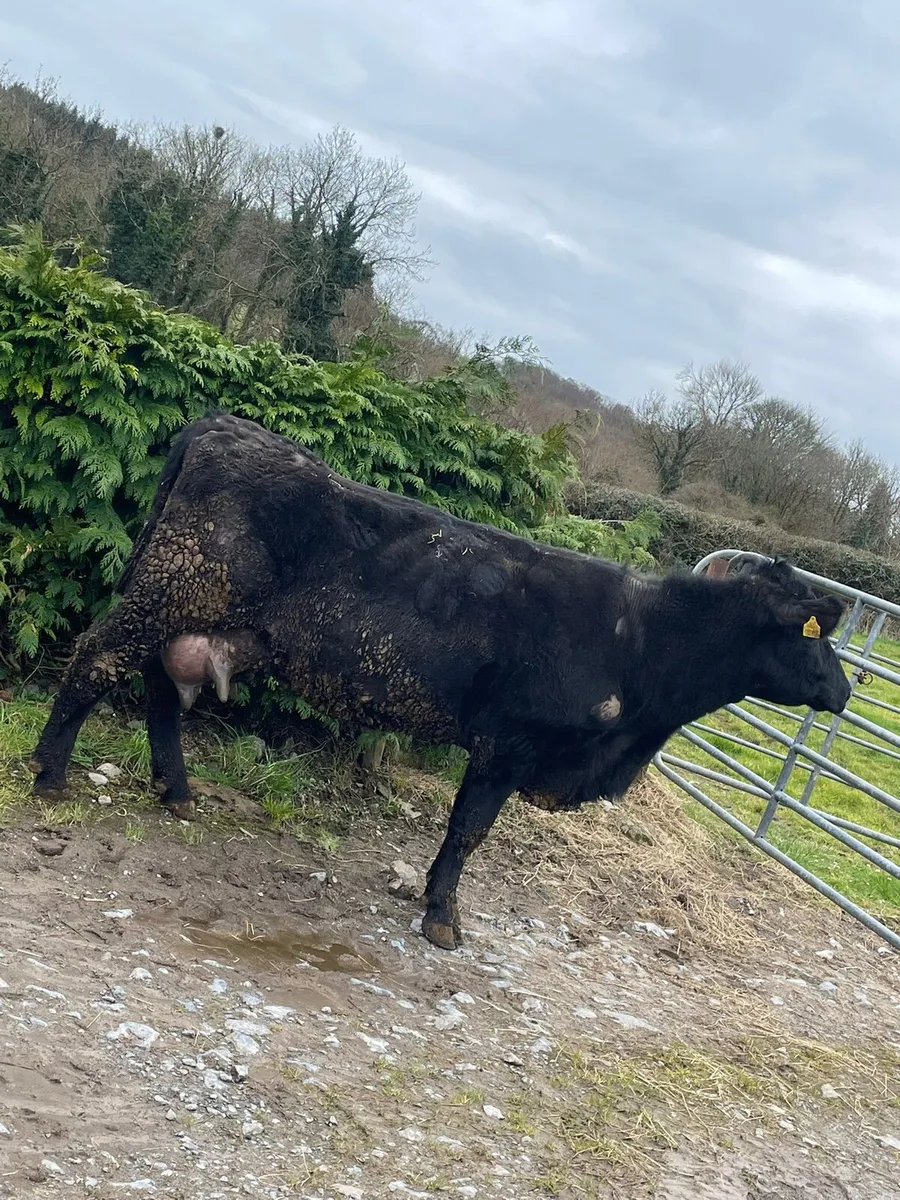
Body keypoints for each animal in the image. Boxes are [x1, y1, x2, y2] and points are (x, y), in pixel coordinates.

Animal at [30, 413, 851, 951]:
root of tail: (224, 426)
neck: (639, 643)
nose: (844, 694)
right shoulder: (509, 740)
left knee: (159, 690)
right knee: (95, 658)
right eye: (815, 637)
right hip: (168, 592)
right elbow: (468, 829)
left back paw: (175, 790)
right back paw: (50, 775)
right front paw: (443, 919)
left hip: (185, 615)